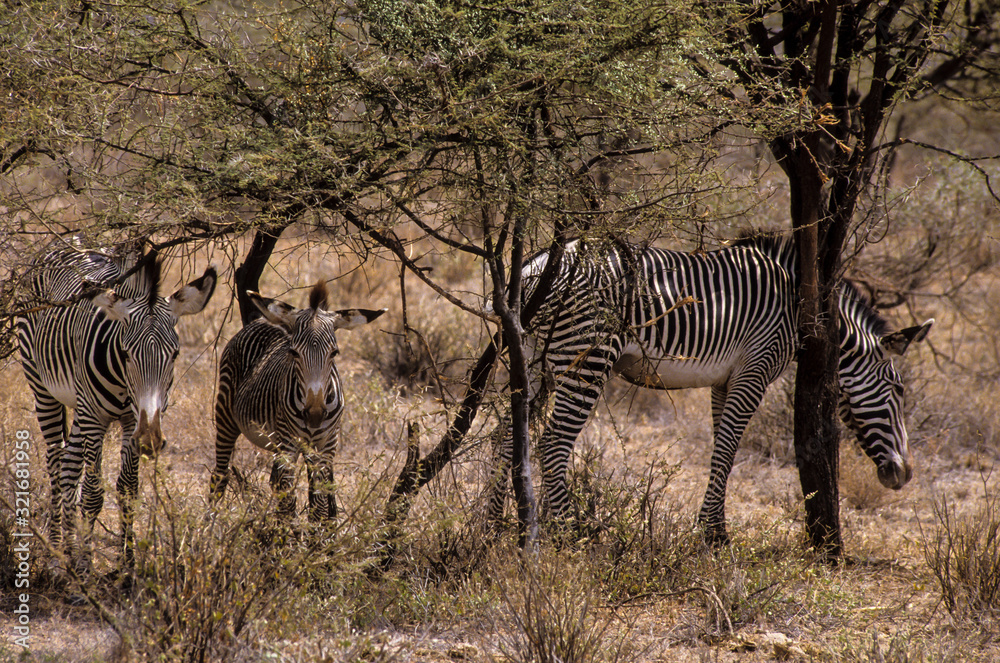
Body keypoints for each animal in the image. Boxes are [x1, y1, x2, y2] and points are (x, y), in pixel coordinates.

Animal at [17, 239, 217, 569]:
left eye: (175, 355)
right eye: (125, 353)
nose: (151, 440)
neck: (126, 388)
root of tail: (63, 244)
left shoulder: (132, 420)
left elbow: (127, 488)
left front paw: (127, 564)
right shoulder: (96, 417)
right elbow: (93, 493)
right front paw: (85, 567)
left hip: (80, 406)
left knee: (71, 464)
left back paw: (68, 549)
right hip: (44, 389)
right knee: (57, 462)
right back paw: (57, 554)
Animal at [210, 281, 385, 522]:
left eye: (334, 353)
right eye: (294, 352)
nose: (314, 415)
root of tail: (260, 319)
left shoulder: (326, 446)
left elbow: (318, 504)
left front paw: (318, 532)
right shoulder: (289, 443)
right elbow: (288, 504)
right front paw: (288, 532)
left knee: (275, 483)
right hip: (226, 414)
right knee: (220, 475)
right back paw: (209, 522)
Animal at [489, 234, 933, 544]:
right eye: (898, 390)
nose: (905, 473)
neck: (797, 305)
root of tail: (534, 267)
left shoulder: (724, 379)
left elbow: (723, 447)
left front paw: (714, 525)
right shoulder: (754, 369)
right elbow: (728, 448)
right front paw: (712, 534)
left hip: (533, 359)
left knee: (505, 435)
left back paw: (497, 528)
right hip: (587, 355)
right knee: (553, 442)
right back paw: (569, 533)